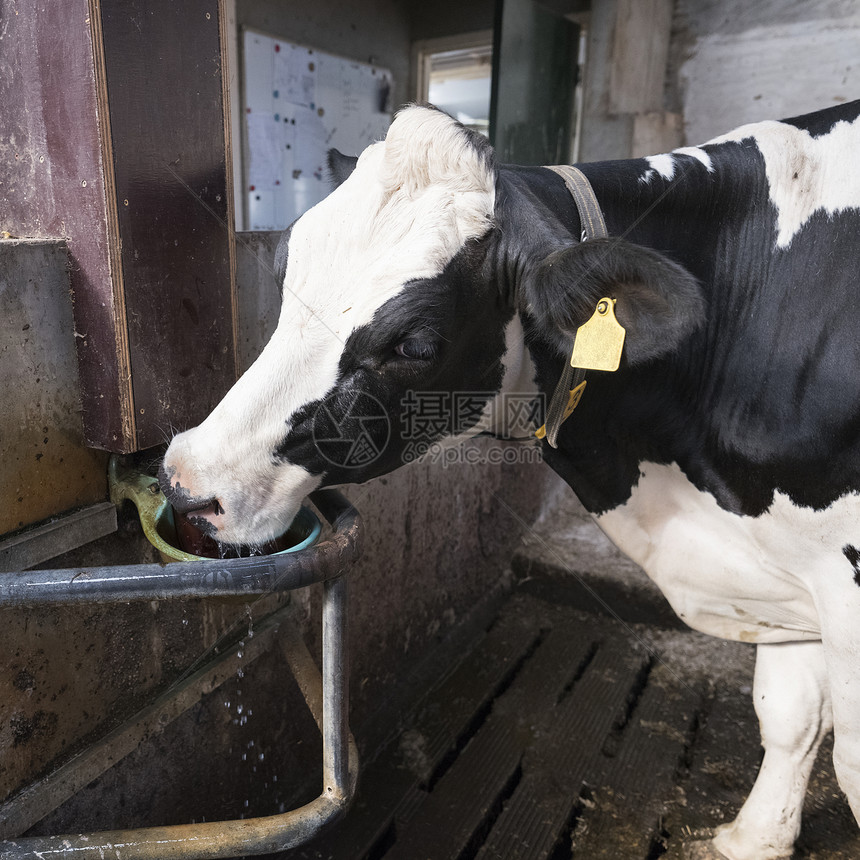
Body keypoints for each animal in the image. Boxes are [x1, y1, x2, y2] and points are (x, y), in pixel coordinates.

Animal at [165, 99, 860, 852]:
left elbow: (847, 758)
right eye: (286, 278)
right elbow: (788, 712)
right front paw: (754, 839)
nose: (189, 481)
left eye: (415, 345)